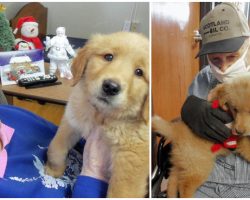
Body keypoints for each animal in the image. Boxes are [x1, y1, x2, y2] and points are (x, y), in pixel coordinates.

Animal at [44, 32, 148, 198]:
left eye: (139, 72)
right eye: (108, 57)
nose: (111, 87)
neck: (101, 114)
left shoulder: (131, 157)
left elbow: (121, 191)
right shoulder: (72, 121)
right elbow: (56, 146)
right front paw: (54, 170)